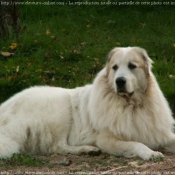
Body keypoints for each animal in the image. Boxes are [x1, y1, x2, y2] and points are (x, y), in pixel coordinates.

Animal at [0, 46, 175, 160]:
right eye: (115, 67)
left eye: (132, 66)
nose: (119, 81)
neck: (131, 105)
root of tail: (5, 107)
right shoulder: (108, 140)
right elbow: (137, 144)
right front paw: (150, 153)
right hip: (60, 109)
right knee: (58, 146)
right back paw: (87, 150)